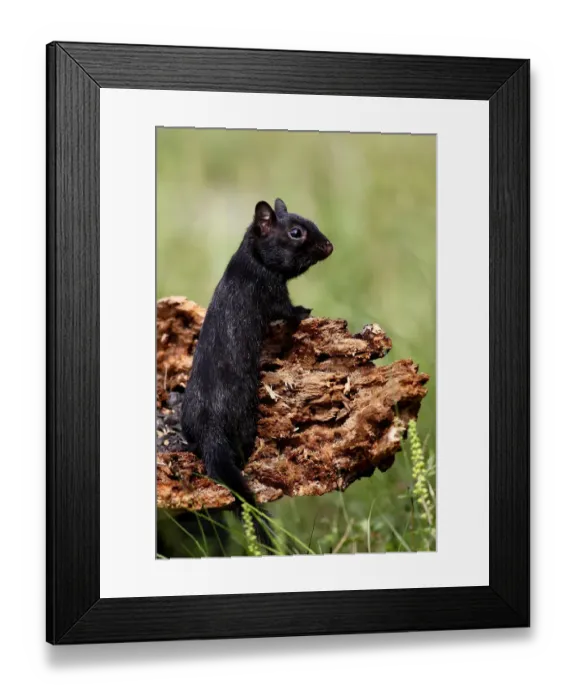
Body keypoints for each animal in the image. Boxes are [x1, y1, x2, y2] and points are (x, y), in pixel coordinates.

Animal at [181, 198, 333, 549]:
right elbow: (287, 311)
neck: (249, 262)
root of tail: (209, 431)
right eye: (296, 232)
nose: (329, 245)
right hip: (244, 425)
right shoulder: (271, 292)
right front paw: (304, 311)